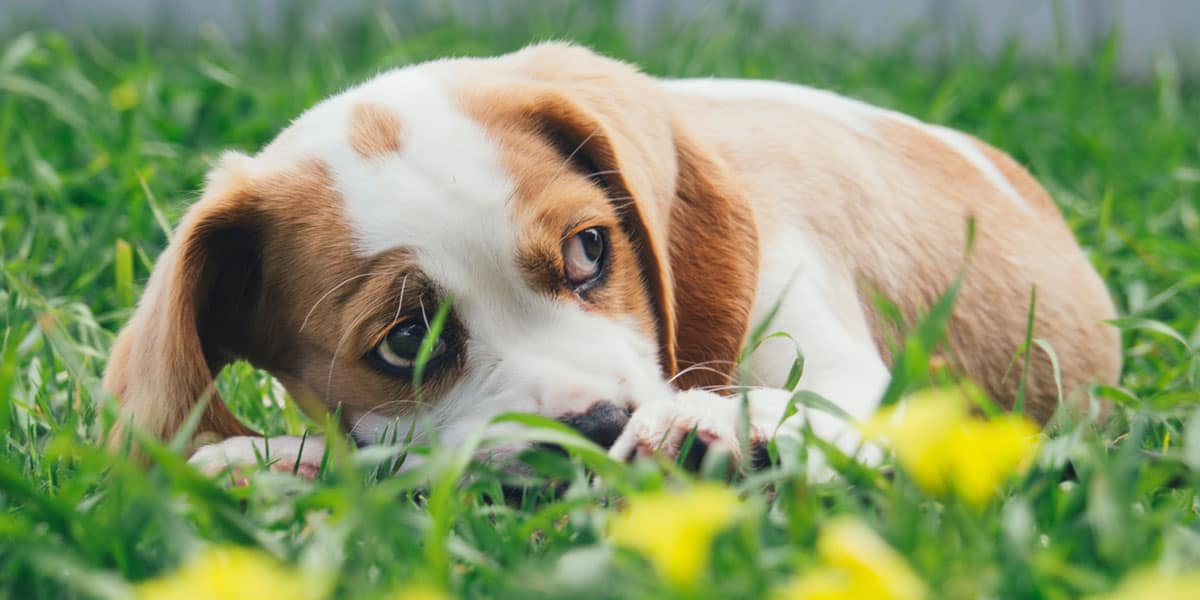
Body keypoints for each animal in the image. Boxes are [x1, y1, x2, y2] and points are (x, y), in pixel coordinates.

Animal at [105, 42, 1123, 475]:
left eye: (591, 251)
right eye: (406, 342)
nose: (599, 424)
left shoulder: (831, 356)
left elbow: (823, 405)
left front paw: (722, 429)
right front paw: (280, 464)